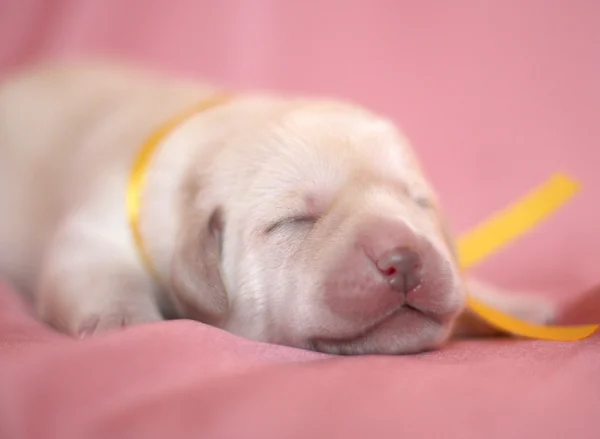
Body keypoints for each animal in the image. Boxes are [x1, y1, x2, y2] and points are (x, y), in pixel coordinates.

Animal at [0, 62, 552, 356]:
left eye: (419, 204)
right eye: (295, 221)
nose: (407, 258)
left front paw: (516, 305)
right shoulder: (104, 222)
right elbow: (95, 266)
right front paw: (124, 322)